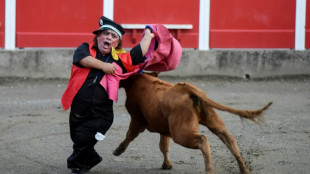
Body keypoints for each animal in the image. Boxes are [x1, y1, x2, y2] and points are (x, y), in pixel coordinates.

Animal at [114, 72, 272, 173]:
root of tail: (188, 88)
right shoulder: (164, 128)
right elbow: (163, 145)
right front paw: (167, 165)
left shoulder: (137, 120)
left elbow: (130, 135)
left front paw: (117, 151)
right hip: (212, 120)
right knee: (228, 138)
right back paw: (244, 170)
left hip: (180, 134)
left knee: (203, 139)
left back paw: (210, 170)